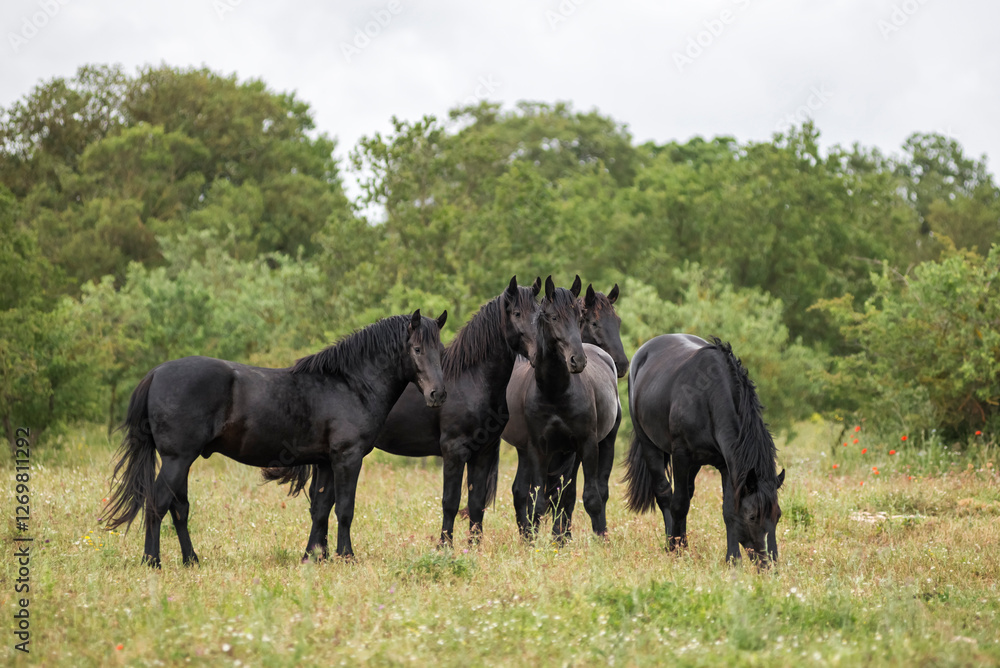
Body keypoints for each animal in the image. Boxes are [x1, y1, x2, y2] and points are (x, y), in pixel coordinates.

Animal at [104, 310, 448, 566]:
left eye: (441, 351)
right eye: (417, 349)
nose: (438, 394)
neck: (349, 384)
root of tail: (157, 373)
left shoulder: (326, 462)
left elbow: (321, 508)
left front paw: (313, 557)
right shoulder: (347, 458)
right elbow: (344, 509)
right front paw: (346, 556)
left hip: (181, 461)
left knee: (179, 508)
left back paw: (191, 560)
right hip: (177, 459)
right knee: (158, 503)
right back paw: (152, 562)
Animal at [263, 277, 542, 551]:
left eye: (540, 313)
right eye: (517, 313)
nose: (538, 354)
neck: (471, 380)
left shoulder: (482, 453)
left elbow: (476, 504)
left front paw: (474, 548)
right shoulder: (454, 450)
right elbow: (450, 501)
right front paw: (445, 547)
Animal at [503, 282, 629, 537]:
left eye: (618, 321)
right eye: (594, 322)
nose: (622, 364)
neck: (556, 392)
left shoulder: (581, 447)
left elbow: (576, 496)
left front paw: (563, 536)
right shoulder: (540, 448)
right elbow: (544, 497)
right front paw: (553, 536)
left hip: (605, 442)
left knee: (598, 490)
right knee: (524, 492)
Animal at [622, 333, 785, 565]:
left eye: (777, 515)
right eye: (753, 516)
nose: (770, 564)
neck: (708, 397)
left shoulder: (726, 466)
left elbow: (728, 511)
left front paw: (732, 559)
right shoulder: (681, 456)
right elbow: (678, 504)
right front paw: (676, 550)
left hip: (695, 464)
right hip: (650, 444)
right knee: (665, 494)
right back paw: (672, 542)